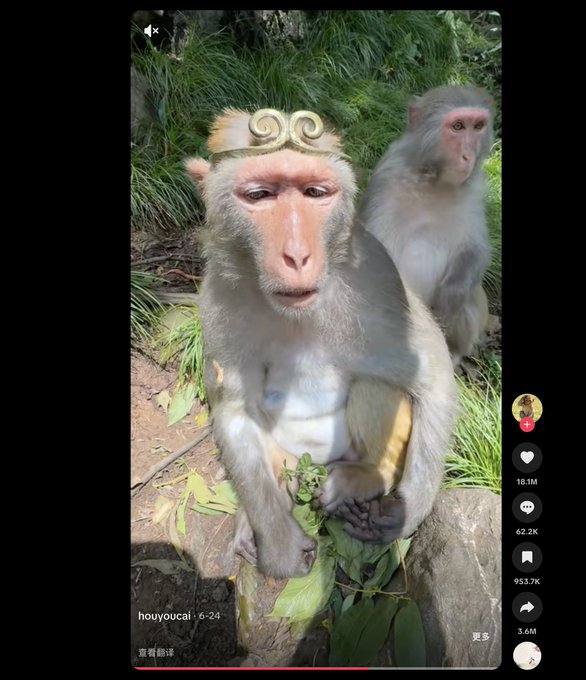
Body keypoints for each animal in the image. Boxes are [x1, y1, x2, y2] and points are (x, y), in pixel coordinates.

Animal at [185, 108, 457, 578]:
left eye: (315, 192)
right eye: (260, 195)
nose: (297, 255)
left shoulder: (377, 278)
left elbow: (433, 373)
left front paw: (409, 509)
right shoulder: (216, 300)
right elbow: (234, 409)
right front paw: (278, 545)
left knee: (373, 386)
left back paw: (364, 479)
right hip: (292, 458)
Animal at [358, 85, 496, 367]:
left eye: (478, 126)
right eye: (458, 126)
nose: (468, 156)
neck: (432, 180)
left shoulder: (475, 190)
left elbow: (476, 249)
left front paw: (451, 296)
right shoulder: (386, 178)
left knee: (469, 298)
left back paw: (452, 354)